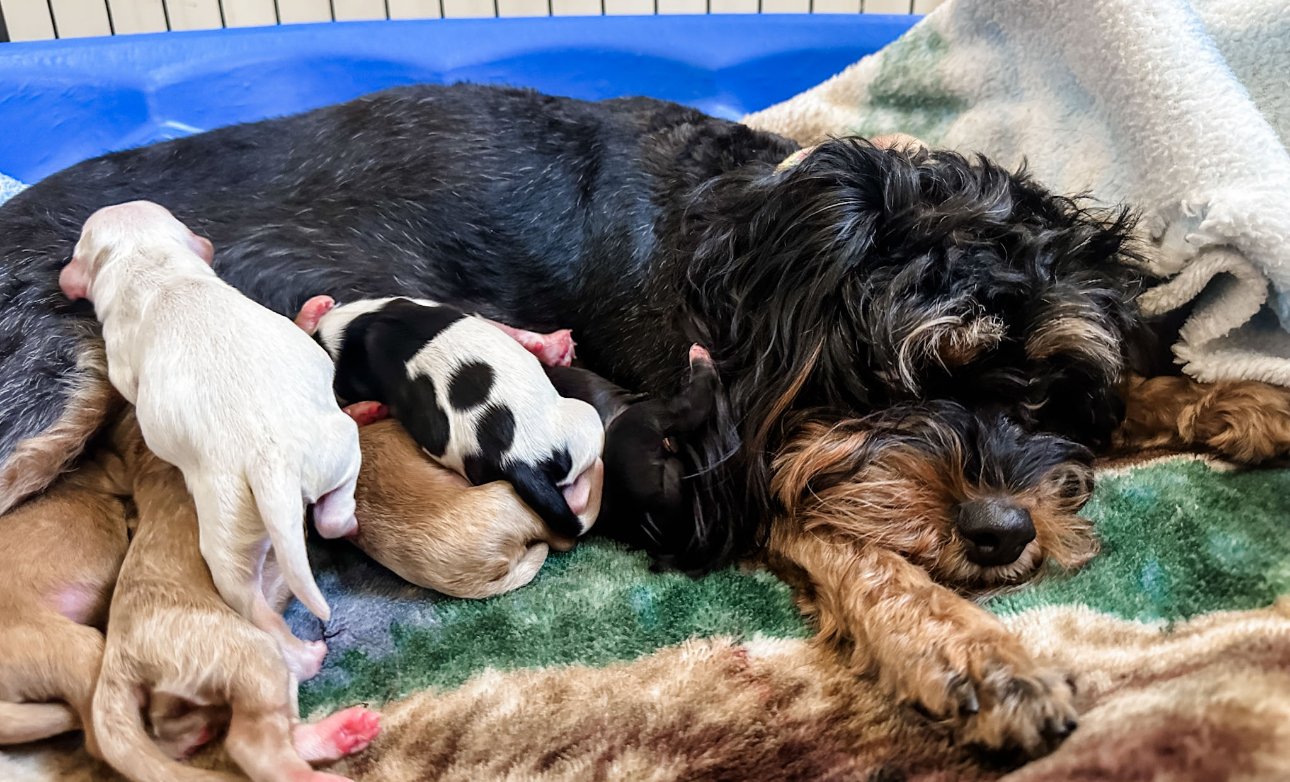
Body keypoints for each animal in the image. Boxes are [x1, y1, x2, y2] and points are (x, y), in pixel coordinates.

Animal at [60, 203, 361, 681]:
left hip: (229, 518)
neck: (153, 266)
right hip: (334, 447)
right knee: (328, 517)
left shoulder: (121, 361)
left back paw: (303, 655)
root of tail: (269, 459)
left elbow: (127, 386)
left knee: (250, 601)